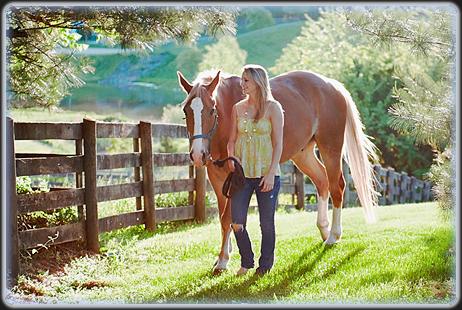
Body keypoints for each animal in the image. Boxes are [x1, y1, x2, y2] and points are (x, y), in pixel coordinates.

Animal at [177, 69, 378, 274]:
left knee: (337, 187)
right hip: (303, 154)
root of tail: (333, 86)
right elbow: (222, 216)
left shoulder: (236, 177)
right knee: (322, 182)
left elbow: (227, 218)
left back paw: (333, 236)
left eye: (211, 109)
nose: (198, 155)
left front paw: (223, 260)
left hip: (331, 148)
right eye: (186, 111)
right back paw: (324, 229)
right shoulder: (218, 178)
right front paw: (225, 254)